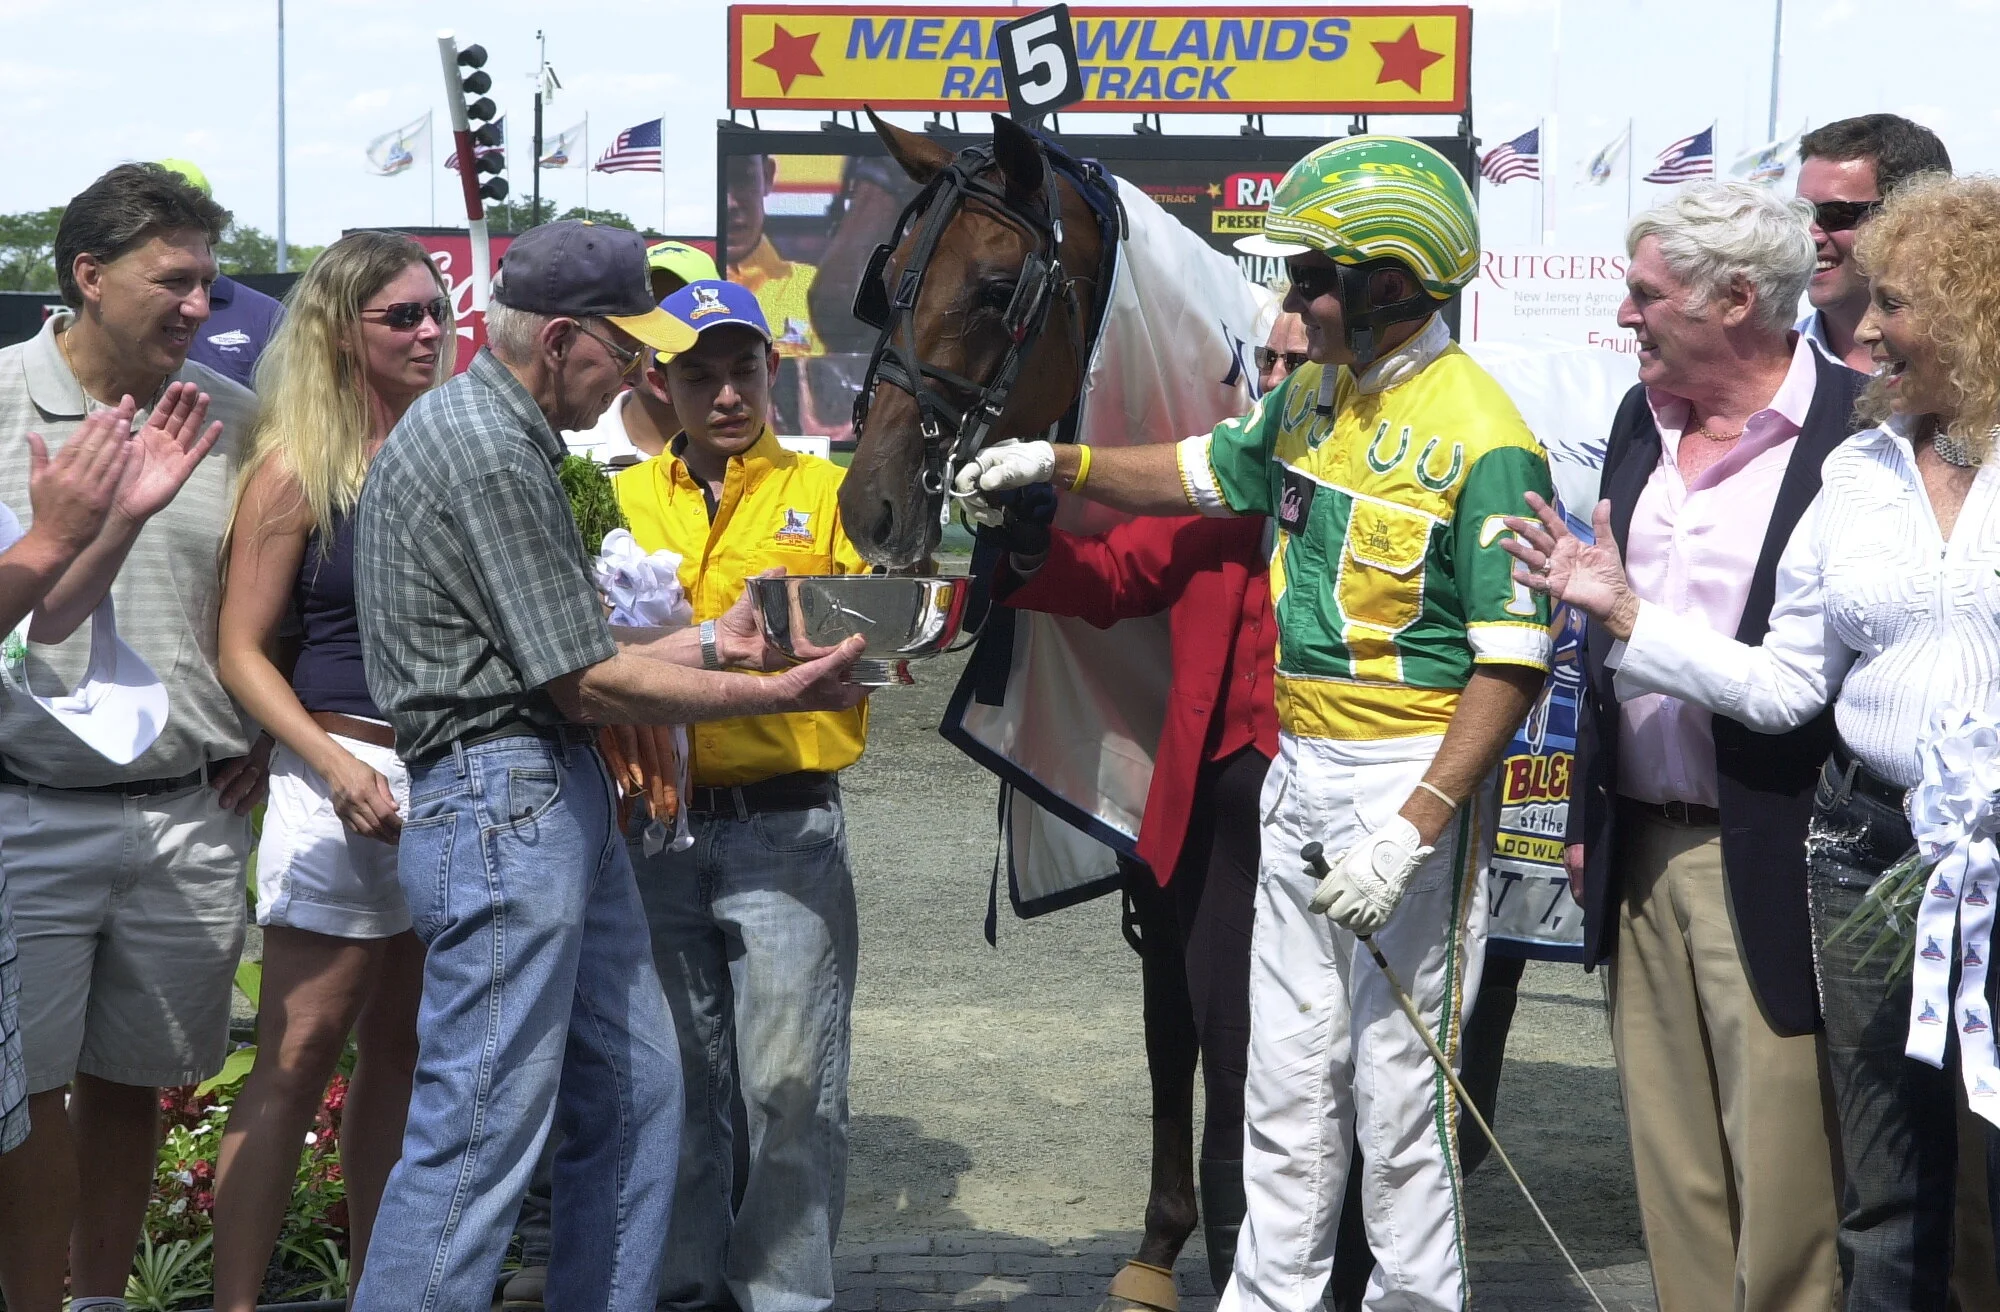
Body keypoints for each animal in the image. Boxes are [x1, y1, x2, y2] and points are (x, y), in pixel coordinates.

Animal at [838, 109, 1276, 1312]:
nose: (867, 501)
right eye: (889, 275)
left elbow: (1240, 1023)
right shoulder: (1159, 834)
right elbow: (1173, 1022)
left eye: (998, 288)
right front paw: (1163, 1242)